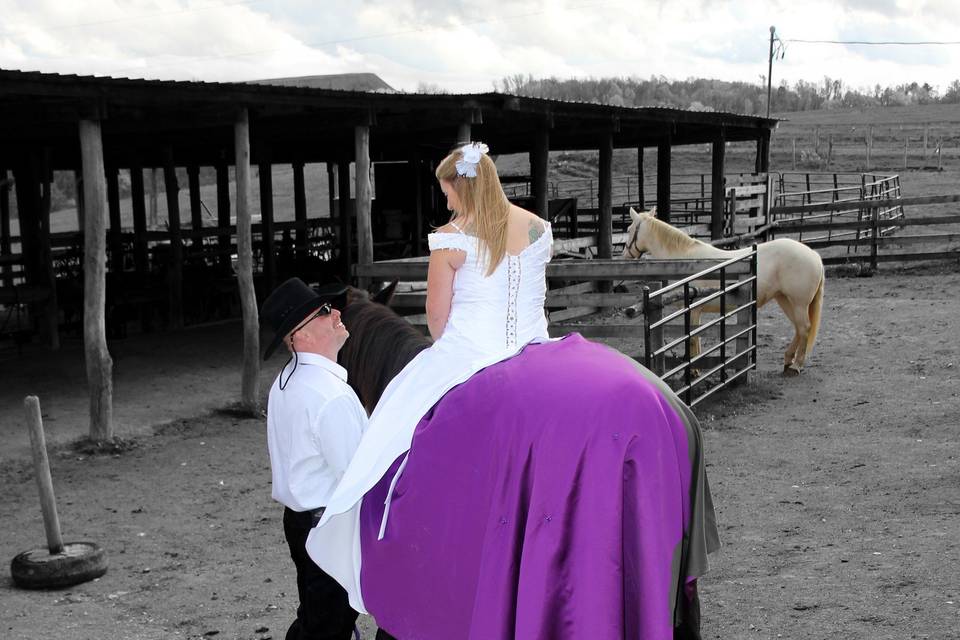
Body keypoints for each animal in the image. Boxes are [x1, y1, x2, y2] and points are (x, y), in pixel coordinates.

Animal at [624, 208, 824, 378]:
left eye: (629, 229)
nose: (625, 256)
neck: (685, 261)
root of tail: (814, 255)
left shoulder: (693, 309)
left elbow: (692, 338)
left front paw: (693, 371)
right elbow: (696, 338)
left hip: (798, 303)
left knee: (804, 328)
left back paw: (796, 366)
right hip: (785, 300)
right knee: (799, 328)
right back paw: (788, 361)